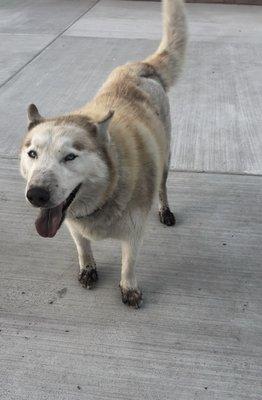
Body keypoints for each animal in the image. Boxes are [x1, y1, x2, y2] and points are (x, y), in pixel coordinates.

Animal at [20, 0, 186, 310]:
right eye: (32, 153)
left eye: (70, 157)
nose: (36, 194)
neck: (109, 189)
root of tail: (139, 66)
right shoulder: (71, 223)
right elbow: (83, 247)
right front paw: (88, 268)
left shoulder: (134, 231)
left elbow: (128, 263)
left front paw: (129, 288)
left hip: (166, 157)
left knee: (163, 186)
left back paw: (165, 210)